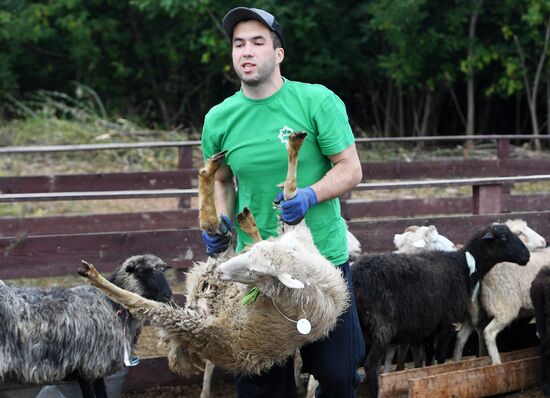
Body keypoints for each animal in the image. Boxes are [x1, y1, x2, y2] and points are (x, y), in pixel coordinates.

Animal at [0, 255, 172, 398]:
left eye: (163, 270)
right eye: (142, 272)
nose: (168, 295)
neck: (111, 303)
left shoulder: (86, 366)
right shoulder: (90, 362)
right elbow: (94, 393)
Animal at [77, 131, 350, 380]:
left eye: (256, 272)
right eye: (252, 261)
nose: (223, 272)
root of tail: (200, 300)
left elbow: (292, 197)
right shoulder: (297, 237)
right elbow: (292, 193)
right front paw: (294, 147)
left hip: (195, 326)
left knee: (144, 303)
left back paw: (95, 276)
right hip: (216, 262)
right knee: (214, 228)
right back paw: (216, 175)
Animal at [352, 224, 532, 398]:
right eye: (503, 237)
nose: (527, 256)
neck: (463, 266)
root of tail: (356, 277)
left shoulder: (428, 329)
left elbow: (429, 359)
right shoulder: (447, 323)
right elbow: (440, 357)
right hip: (382, 326)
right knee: (370, 365)